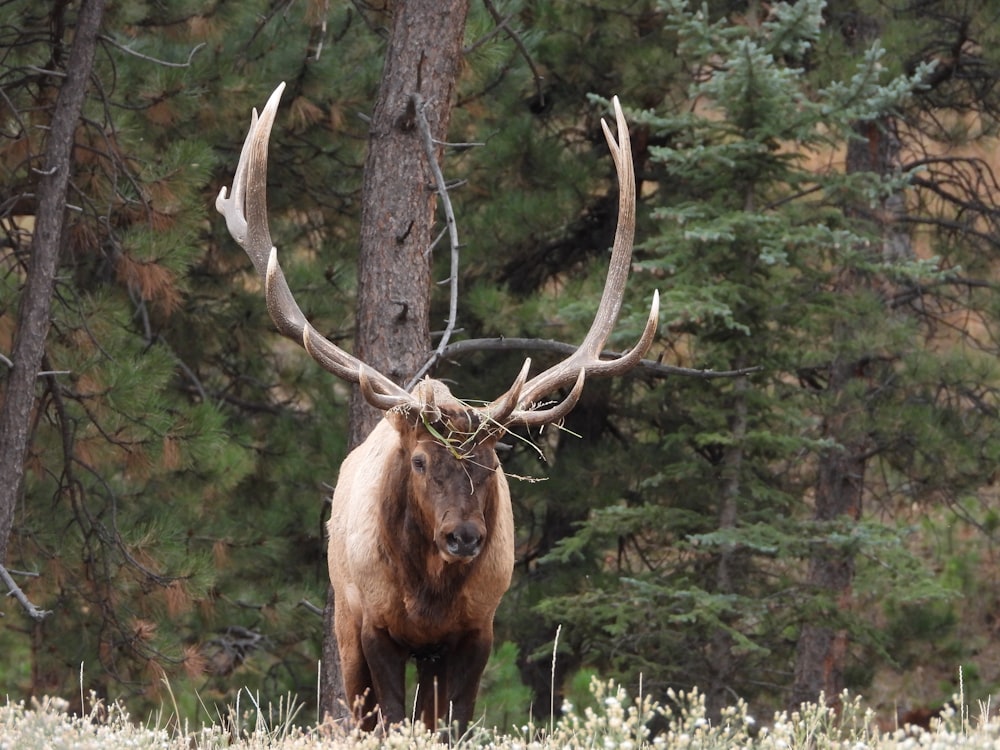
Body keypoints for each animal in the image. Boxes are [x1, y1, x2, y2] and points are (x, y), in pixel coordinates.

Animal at [215, 82, 660, 736]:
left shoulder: (477, 628)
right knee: (361, 711)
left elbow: (457, 722)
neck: (427, 598)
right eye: (421, 461)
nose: (463, 535)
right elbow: (392, 720)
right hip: (344, 623)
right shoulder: (375, 626)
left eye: (493, 464)